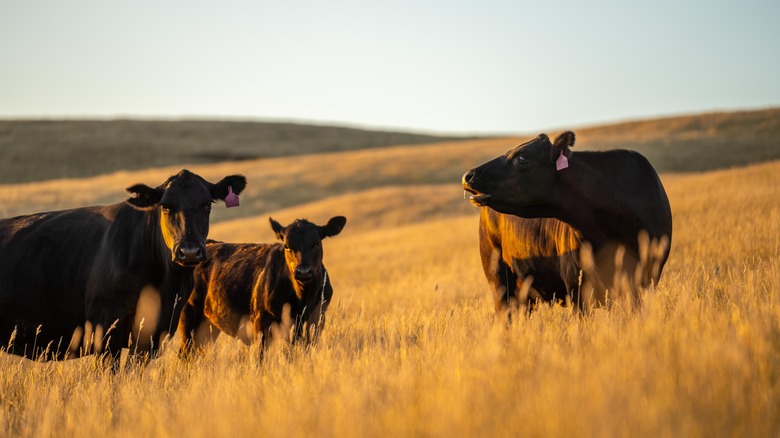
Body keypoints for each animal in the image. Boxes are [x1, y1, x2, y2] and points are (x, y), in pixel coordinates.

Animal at [0, 169, 247, 362]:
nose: (189, 251)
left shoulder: (152, 336)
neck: (166, 285)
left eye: (207, 205)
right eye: (166, 206)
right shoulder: (106, 330)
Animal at [181, 216, 346, 356]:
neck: (302, 299)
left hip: (209, 326)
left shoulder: (315, 321)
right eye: (287, 246)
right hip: (189, 318)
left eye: (316, 243)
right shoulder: (261, 321)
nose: (303, 271)